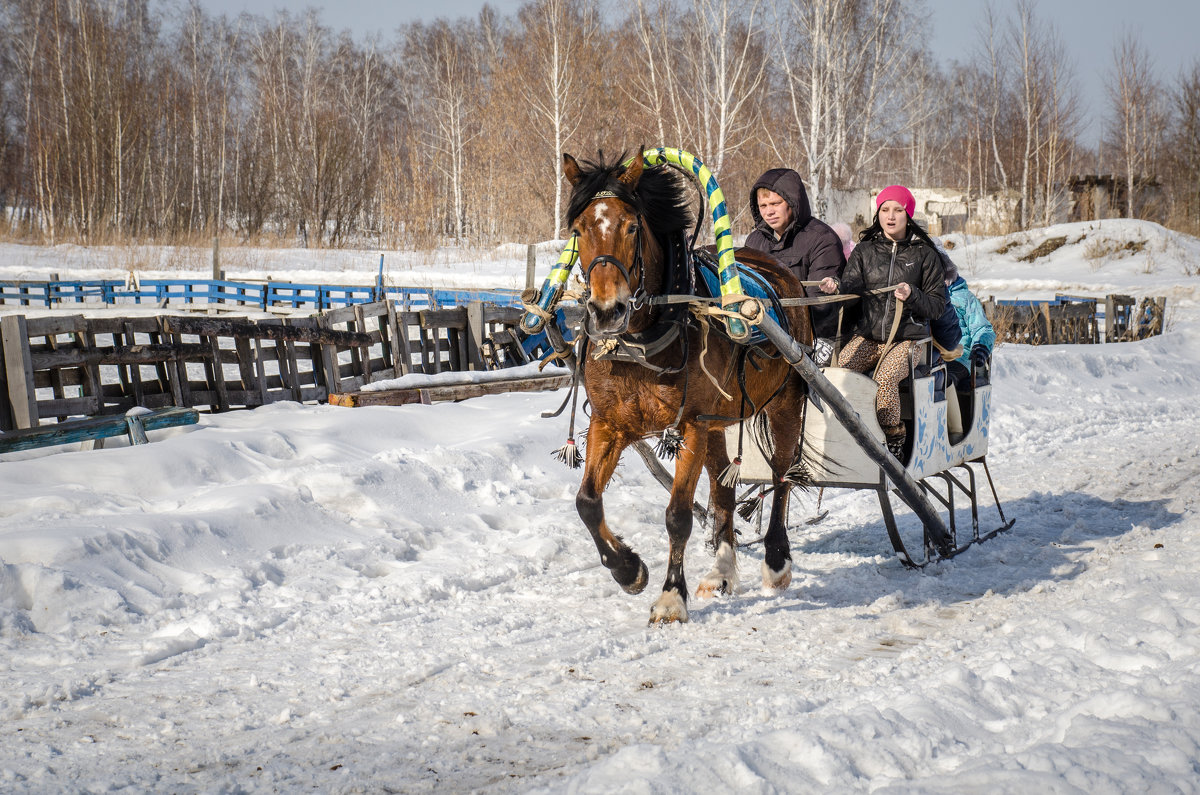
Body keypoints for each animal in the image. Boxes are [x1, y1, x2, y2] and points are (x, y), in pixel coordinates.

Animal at [564, 149, 816, 624]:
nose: (607, 311)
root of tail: (777, 270)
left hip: (786, 400)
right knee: (723, 490)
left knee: (781, 475)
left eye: (631, 226)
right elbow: (586, 502)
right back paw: (722, 571)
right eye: (579, 229)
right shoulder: (610, 423)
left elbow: (678, 515)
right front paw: (628, 569)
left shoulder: (691, 425)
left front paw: (669, 597)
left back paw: (776, 560)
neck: (643, 342)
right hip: (719, 422)